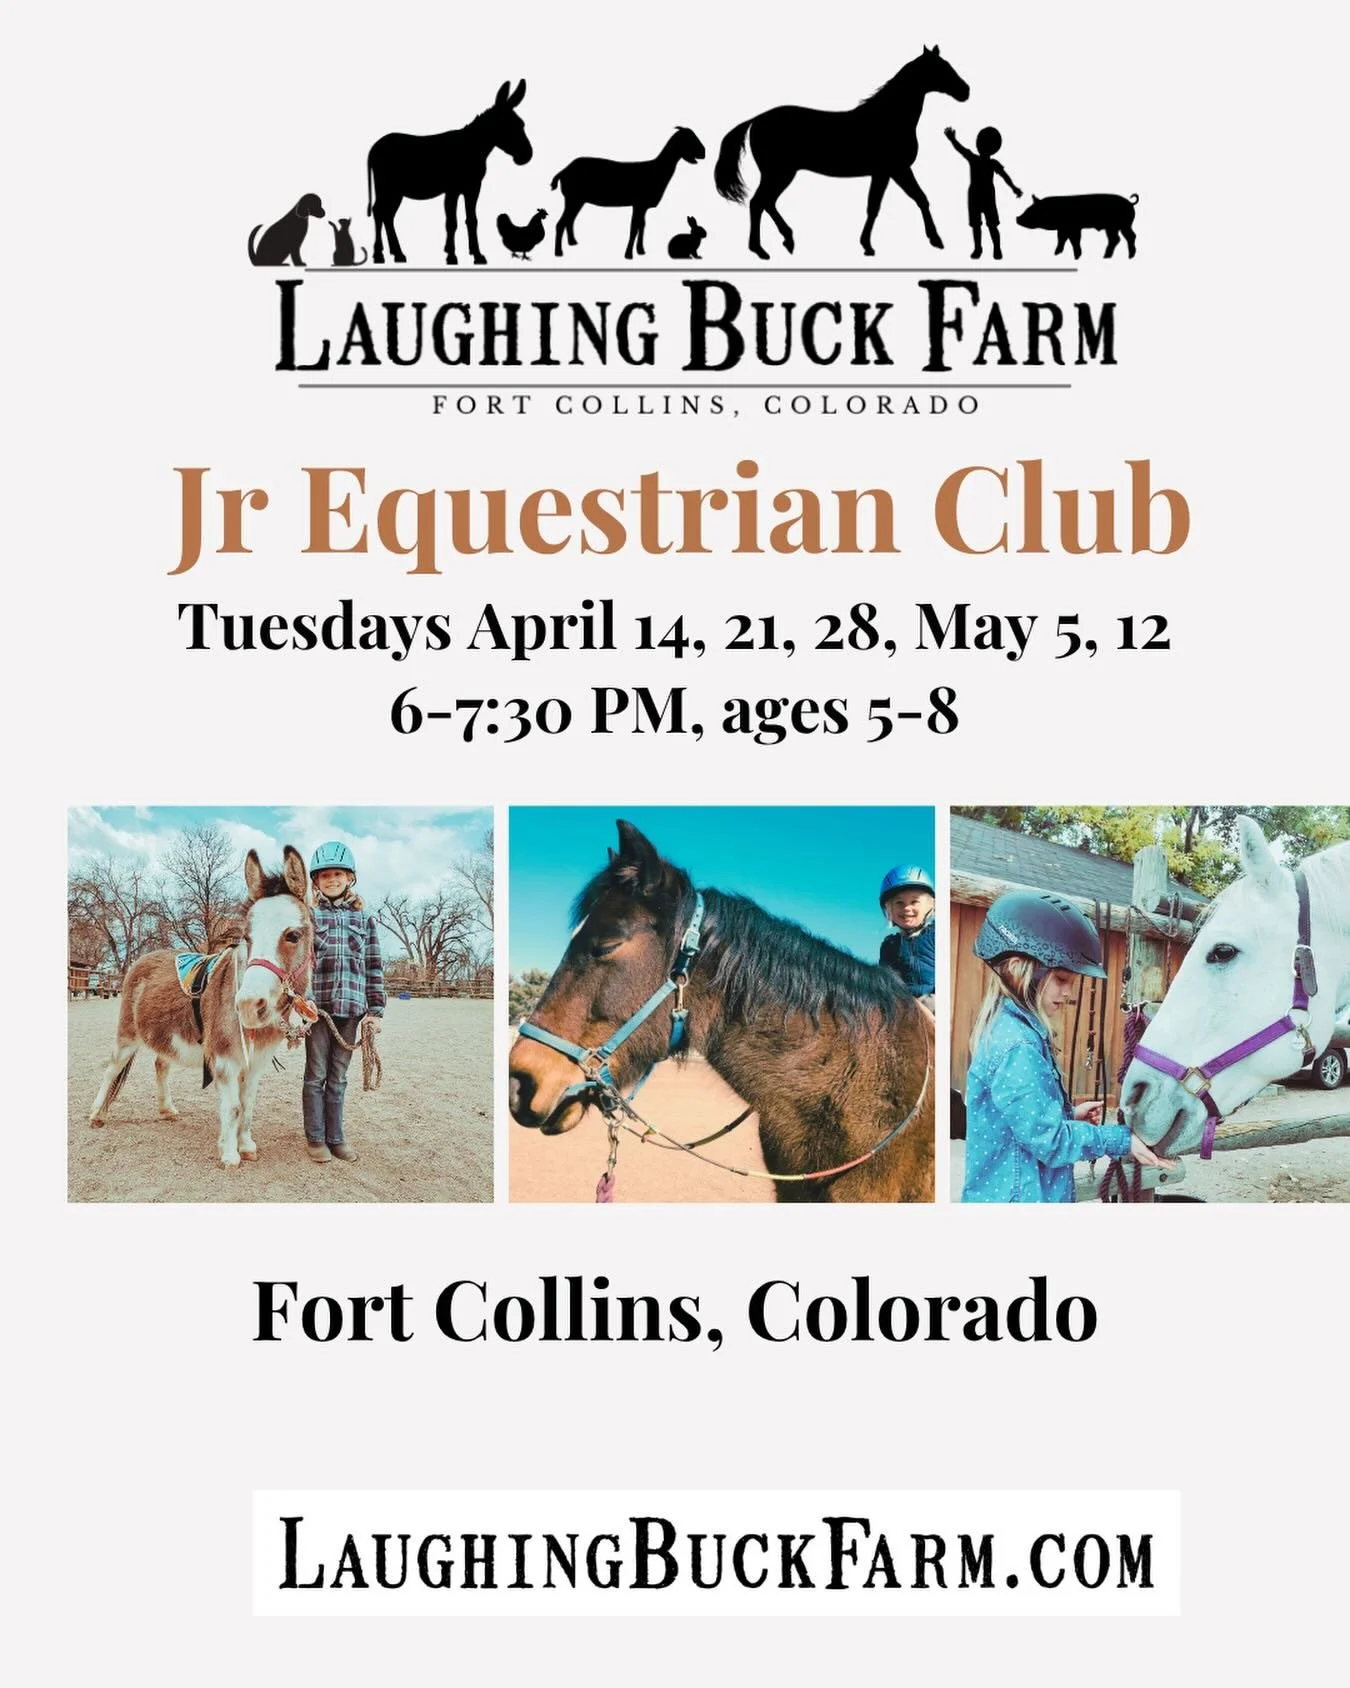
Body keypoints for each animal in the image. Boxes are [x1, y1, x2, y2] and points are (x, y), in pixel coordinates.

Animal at [88, 848, 314, 1168]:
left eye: (293, 936)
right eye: (247, 938)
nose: (248, 1006)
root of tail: (143, 960)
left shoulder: (255, 1063)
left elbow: (248, 1105)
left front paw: (246, 1146)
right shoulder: (225, 1061)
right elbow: (233, 1107)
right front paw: (230, 1155)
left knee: (161, 1065)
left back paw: (167, 1110)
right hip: (127, 1036)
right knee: (111, 1070)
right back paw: (97, 1114)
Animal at [367, 79, 530, 265]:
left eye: (522, 124)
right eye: (508, 126)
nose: (527, 155)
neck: (471, 147)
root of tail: (374, 147)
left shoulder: (473, 188)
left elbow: (472, 220)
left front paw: (477, 255)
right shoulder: (452, 190)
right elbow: (452, 222)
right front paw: (452, 256)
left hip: (396, 191)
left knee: (387, 215)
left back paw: (397, 254)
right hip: (386, 187)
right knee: (379, 212)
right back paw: (379, 255)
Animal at [552, 127, 706, 260]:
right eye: (689, 139)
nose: (703, 152)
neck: (657, 170)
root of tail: (563, 171)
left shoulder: (643, 207)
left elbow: (642, 226)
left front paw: (641, 251)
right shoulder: (638, 204)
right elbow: (634, 228)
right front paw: (628, 255)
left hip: (577, 200)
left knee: (569, 220)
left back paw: (573, 242)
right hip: (573, 198)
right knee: (561, 223)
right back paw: (559, 252)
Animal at [715, 45, 969, 260]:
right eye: (940, 68)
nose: (966, 91)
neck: (889, 118)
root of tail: (756, 119)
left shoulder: (884, 173)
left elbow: (876, 207)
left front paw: (867, 245)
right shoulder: (897, 169)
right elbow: (917, 199)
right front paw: (935, 239)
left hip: (781, 174)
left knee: (767, 203)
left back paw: (788, 239)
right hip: (778, 173)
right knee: (759, 203)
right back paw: (760, 249)